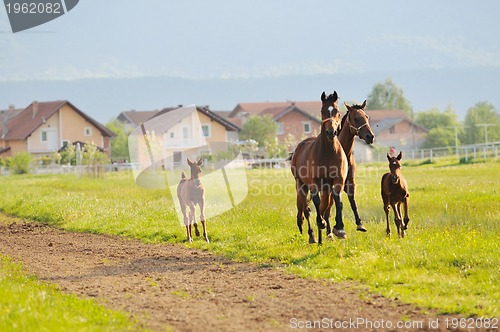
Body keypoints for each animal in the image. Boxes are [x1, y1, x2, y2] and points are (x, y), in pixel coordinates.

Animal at [290, 91, 348, 244]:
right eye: (322, 111)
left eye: (337, 111)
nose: (331, 132)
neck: (328, 152)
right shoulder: (314, 183)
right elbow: (316, 203)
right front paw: (320, 223)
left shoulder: (338, 181)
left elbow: (337, 201)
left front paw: (339, 229)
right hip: (301, 184)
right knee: (306, 209)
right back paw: (312, 235)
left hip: (325, 188)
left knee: (325, 207)